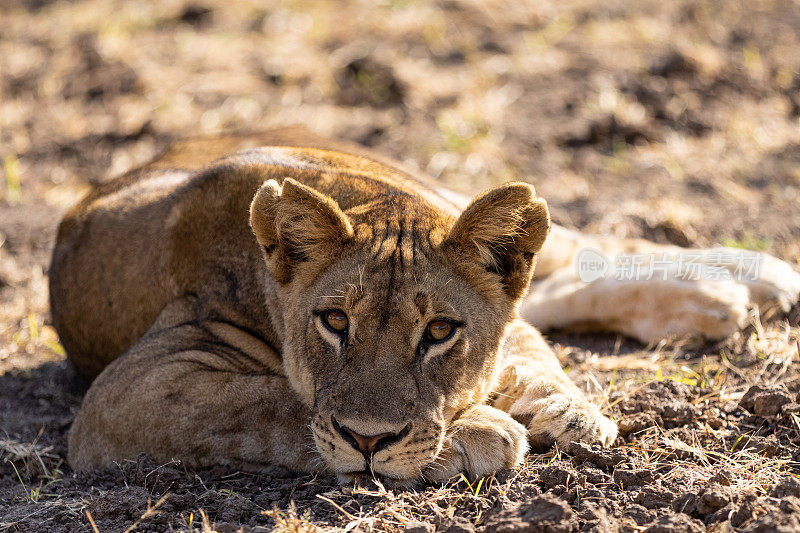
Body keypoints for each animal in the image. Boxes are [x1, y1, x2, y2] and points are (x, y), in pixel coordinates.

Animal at [50, 127, 800, 480]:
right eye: (334, 321)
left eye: (439, 330)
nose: (369, 442)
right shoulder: (130, 389)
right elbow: (268, 402)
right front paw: (480, 431)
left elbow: (527, 346)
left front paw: (565, 408)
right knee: (555, 285)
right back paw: (724, 297)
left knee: (581, 252)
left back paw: (758, 275)